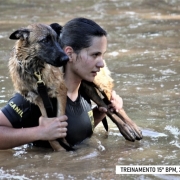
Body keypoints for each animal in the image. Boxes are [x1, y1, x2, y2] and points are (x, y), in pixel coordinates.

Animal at [8, 23, 71, 151]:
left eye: (56, 39)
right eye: (45, 40)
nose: (66, 59)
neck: (35, 71)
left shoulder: (61, 90)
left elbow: (60, 115)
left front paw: (64, 146)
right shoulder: (38, 99)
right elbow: (49, 131)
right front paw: (60, 149)